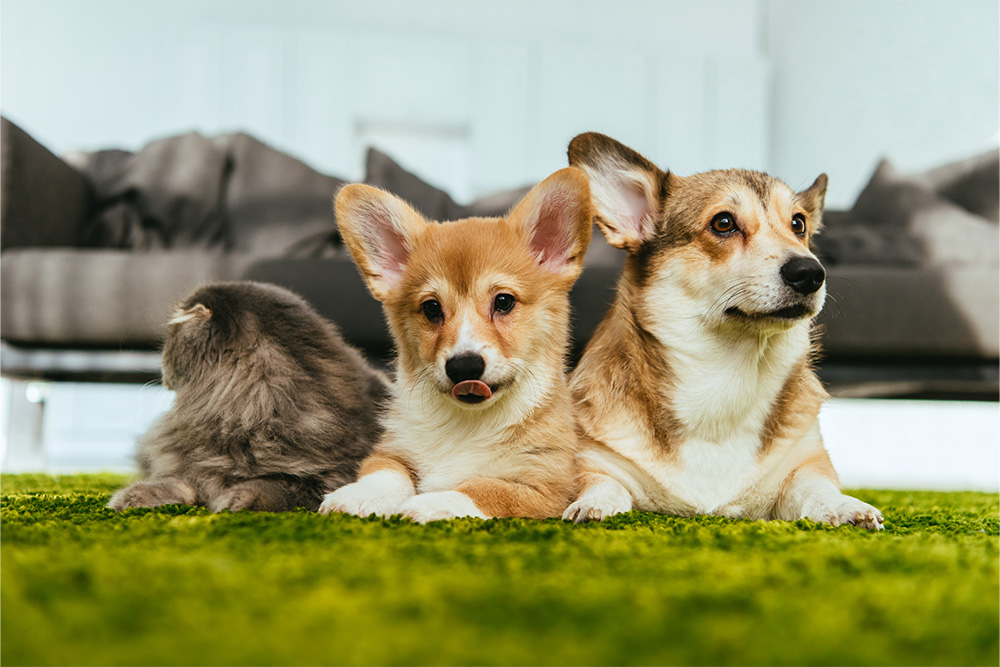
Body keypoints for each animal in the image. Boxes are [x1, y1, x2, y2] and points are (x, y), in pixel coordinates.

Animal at [107, 280, 388, 512]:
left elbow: (272, 487)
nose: (161, 369)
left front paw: (235, 500)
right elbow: (178, 483)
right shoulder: (190, 466)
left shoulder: (326, 478)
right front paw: (130, 498)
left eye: (168, 345)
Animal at [316, 170, 588, 524]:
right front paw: (357, 496)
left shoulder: (542, 488)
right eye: (432, 308)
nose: (464, 366)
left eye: (503, 302)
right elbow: (386, 474)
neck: (464, 424)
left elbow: (483, 489)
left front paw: (431, 503)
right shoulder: (391, 451)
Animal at [564, 133, 884, 532]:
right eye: (723, 223)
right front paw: (594, 505)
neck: (727, 380)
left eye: (799, 224)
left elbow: (817, 489)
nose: (810, 272)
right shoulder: (595, 463)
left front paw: (844, 506)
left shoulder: (804, 465)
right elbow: (604, 484)